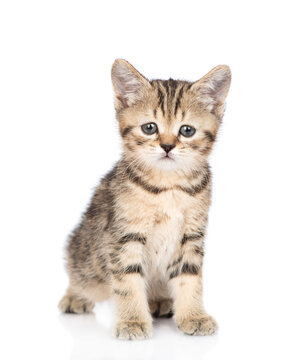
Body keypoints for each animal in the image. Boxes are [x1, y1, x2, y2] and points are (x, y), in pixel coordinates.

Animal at [59, 59, 232, 340]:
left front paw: (193, 315)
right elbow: (127, 281)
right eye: (149, 127)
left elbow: (190, 278)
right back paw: (74, 296)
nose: (167, 146)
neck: (168, 187)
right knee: (80, 271)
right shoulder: (123, 235)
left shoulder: (191, 237)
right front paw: (132, 321)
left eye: (187, 130)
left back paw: (159, 300)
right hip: (88, 257)